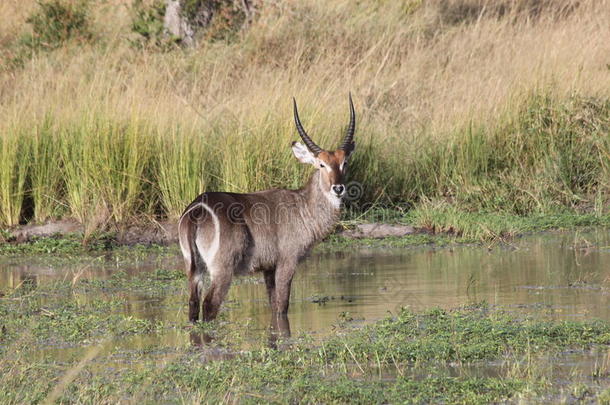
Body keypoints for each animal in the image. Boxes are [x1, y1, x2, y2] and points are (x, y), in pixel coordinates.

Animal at [178, 94, 354, 322]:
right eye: (321, 164)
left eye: (344, 163)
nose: (338, 188)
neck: (303, 206)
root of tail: (197, 209)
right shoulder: (287, 261)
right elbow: (282, 306)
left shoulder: (268, 267)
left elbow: (273, 305)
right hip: (222, 269)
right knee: (209, 304)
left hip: (193, 268)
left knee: (193, 304)